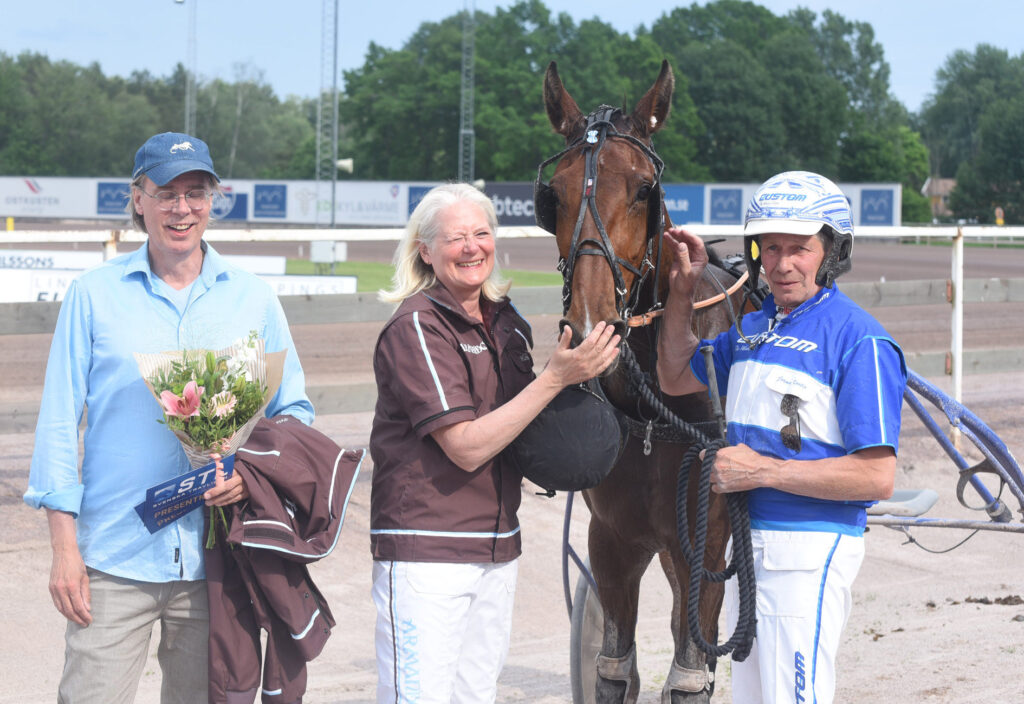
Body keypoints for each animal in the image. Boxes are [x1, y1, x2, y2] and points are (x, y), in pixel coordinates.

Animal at [540, 60, 749, 704]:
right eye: (552, 195)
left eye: (641, 190)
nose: (590, 324)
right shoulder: (613, 539)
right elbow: (614, 670)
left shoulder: (706, 536)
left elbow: (689, 675)